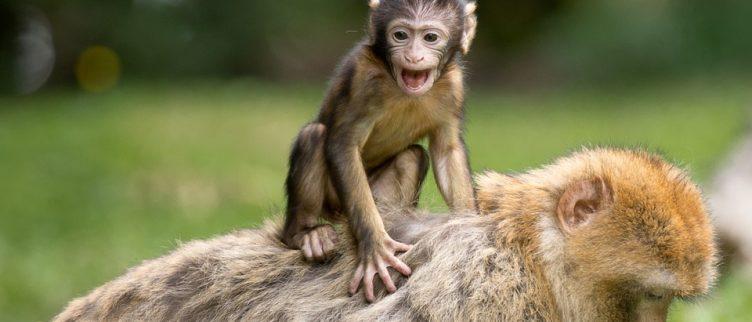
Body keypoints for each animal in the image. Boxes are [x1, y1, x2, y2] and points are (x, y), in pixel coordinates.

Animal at [280, 0, 478, 302]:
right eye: (401, 35)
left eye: (430, 37)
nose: (413, 56)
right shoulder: (363, 78)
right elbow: (343, 144)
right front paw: (374, 248)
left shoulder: (453, 86)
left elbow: (447, 151)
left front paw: (468, 230)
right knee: (314, 136)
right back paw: (305, 233)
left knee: (412, 157)